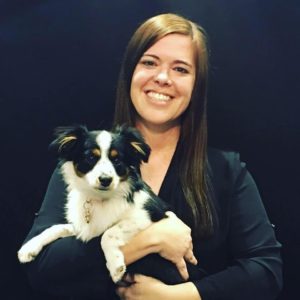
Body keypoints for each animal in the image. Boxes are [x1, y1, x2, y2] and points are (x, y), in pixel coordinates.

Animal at [17, 124, 203, 284]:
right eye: (91, 157)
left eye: (117, 160)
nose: (105, 180)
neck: (101, 198)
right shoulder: (85, 229)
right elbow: (57, 228)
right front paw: (28, 248)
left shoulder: (148, 215)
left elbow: (109, 233)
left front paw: (115, 266)